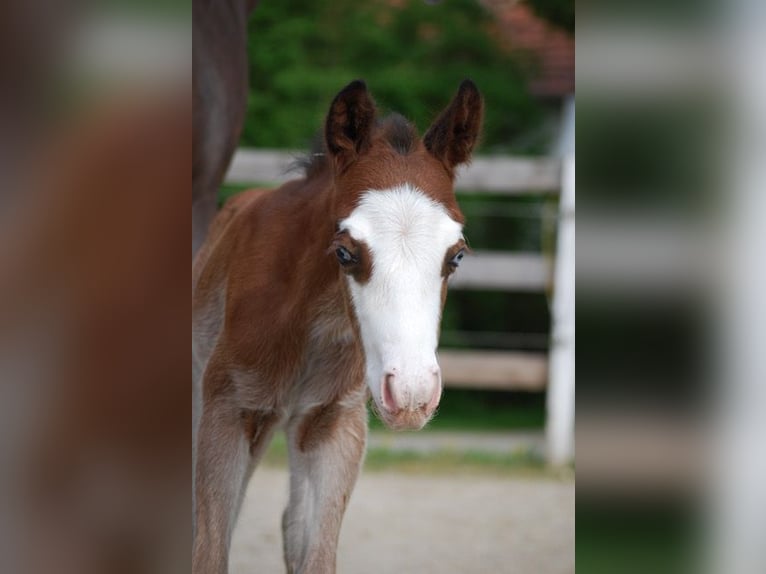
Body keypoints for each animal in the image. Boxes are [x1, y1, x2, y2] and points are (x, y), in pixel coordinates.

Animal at [192, 79, 483, 573]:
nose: (412, 394)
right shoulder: (227, 410)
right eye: (345, 252)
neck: (311, 321)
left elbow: (313, 553)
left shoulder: (332, 423)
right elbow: (209, 549)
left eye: (457, 255)